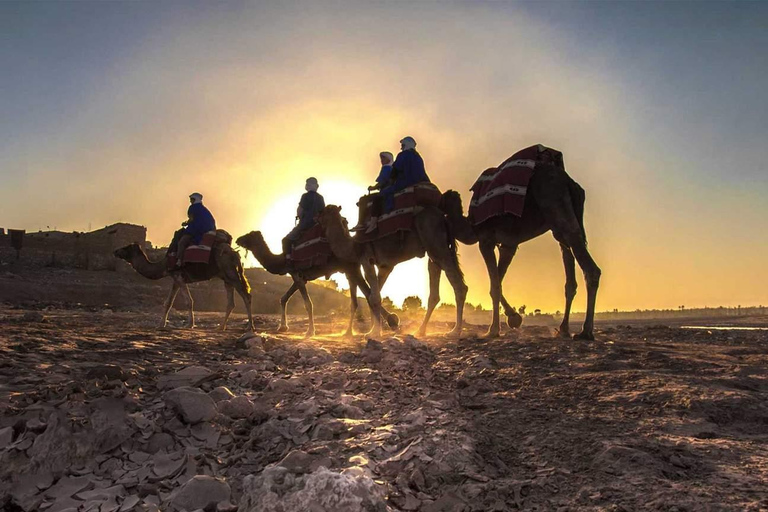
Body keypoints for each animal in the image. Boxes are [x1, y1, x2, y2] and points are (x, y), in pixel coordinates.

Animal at [113, 241, 255, 330]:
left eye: (126, 247)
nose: (115, 251)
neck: (163, 265)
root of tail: (235, 253)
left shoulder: (179, 277)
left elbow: (189, 301)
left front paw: (189, 325)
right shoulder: (175, 279)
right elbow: (168, 302)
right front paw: (161, 324)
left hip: (231, 272)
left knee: (246, 295)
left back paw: (250, 326)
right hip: (226, 277)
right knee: (231, 302)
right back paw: (221, 326)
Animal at [237, 231, 400, 336]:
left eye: (248, 236)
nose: (238, 239)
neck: (281, 261)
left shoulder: (296, 274)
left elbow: (308, 303)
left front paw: (310, 331)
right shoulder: (300, 277)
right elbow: (283, 298)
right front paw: (282, 327)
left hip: (350, 267)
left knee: (367, 293)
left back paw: (391, 321)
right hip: (350, 268)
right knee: (363, 295)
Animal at [314, 202, 468, 338]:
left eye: (323, 212)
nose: (317, 218)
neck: (353, 246)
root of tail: (443, 217)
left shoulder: (366, 258)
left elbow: (374, 297)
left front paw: (376, 332)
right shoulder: (385, 266)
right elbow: (373, 295)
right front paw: (374, 330)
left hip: (435, 242)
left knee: (459, 286)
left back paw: (455, 331)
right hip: (433, 251)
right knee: (435, 291)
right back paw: (420, 331)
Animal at [438, 159, 600, 340]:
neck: (471, 225)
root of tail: (569, 182)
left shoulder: (486, 240)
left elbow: (495, 286)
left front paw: (493, 330)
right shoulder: (509, 244)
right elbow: (498, 281)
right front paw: (514, 318)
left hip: (556, 205)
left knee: (590, 268)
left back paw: (585, 331)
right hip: (562, 223)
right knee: (569, 267)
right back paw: (564, 329)